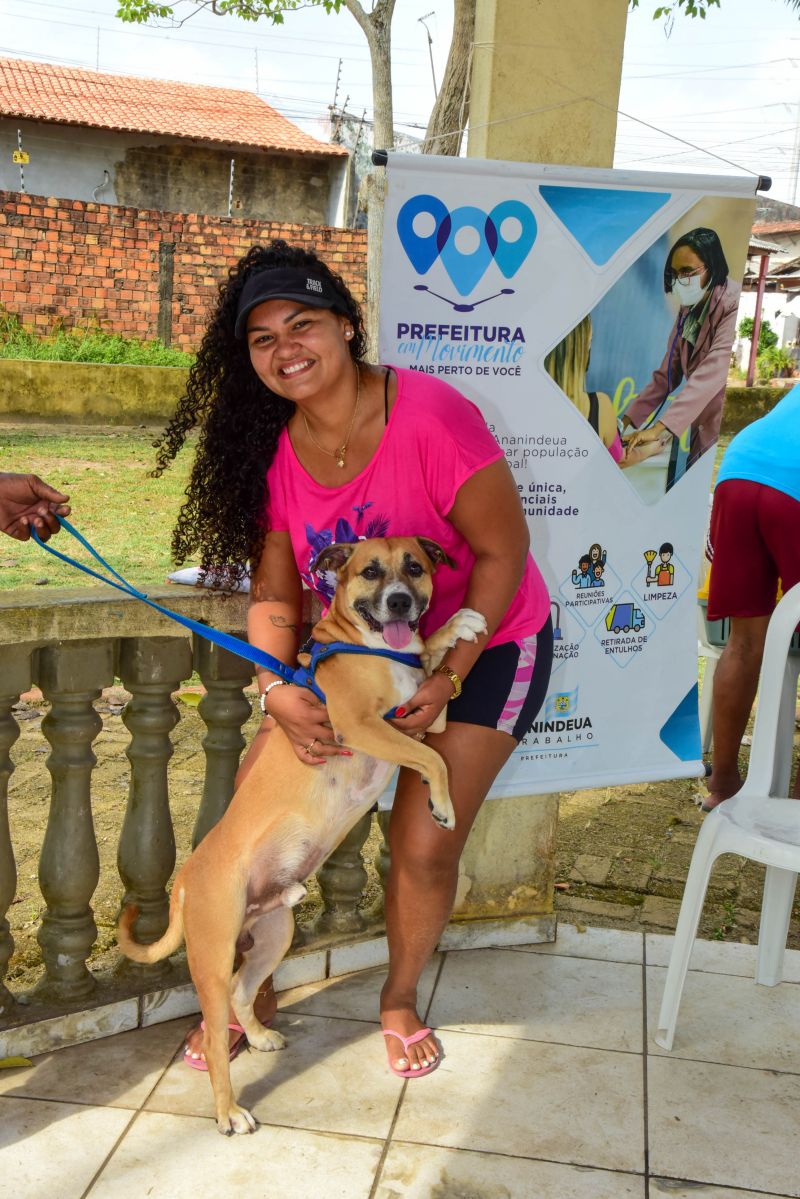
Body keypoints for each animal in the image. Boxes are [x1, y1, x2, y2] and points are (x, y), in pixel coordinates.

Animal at [118, 539, 489, 1136]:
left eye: (415, 566)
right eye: (370, 571)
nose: (401, 602)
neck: (371, 648)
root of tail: (186, 881)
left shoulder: (420, 717)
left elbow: (433, 691)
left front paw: (451, 630)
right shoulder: (364, 726)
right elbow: (434, 761)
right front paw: (442, 806)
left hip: (274, 935)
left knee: (244, 992)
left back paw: (260, 1036)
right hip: (213, 955)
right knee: (217, 1037)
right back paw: (228, 1111)